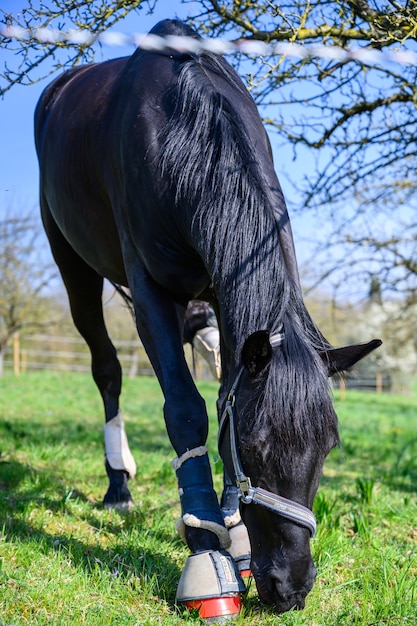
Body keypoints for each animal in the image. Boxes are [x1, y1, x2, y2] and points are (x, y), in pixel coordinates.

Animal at [35, 20, 380, 616]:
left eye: (329, 447)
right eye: (257, 448)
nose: (290, 588)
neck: (181, 129)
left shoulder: (223, 289)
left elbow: (223, 397)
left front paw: (233, 535)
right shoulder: (149, 288)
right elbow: (185, 410)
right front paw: (205, 551)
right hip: (73, 264)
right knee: (107, 369)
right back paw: (119, 485)